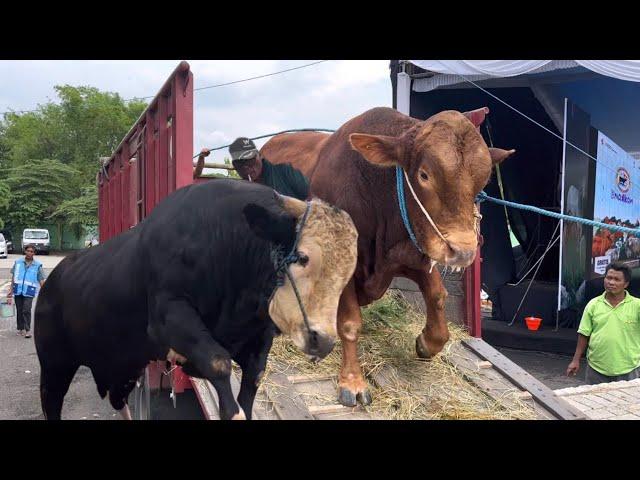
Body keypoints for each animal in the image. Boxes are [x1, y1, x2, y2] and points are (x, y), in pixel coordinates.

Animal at [35, 178, 344, 418]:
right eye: (303, 258)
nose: (324, 340)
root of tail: (52, 279)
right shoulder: (169, 316)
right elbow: (219, 363)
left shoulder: (259, 333)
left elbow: (253, 377)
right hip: (54, 366)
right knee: (52, 403)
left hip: (123, 366)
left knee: (117, 400)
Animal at [260, 107, 516, 406]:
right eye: (424, 175)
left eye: (482, 182)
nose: (462, 251)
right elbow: (350, 324)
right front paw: (353, 382)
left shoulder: (412, 253)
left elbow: (437, 298)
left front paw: (426, 343)